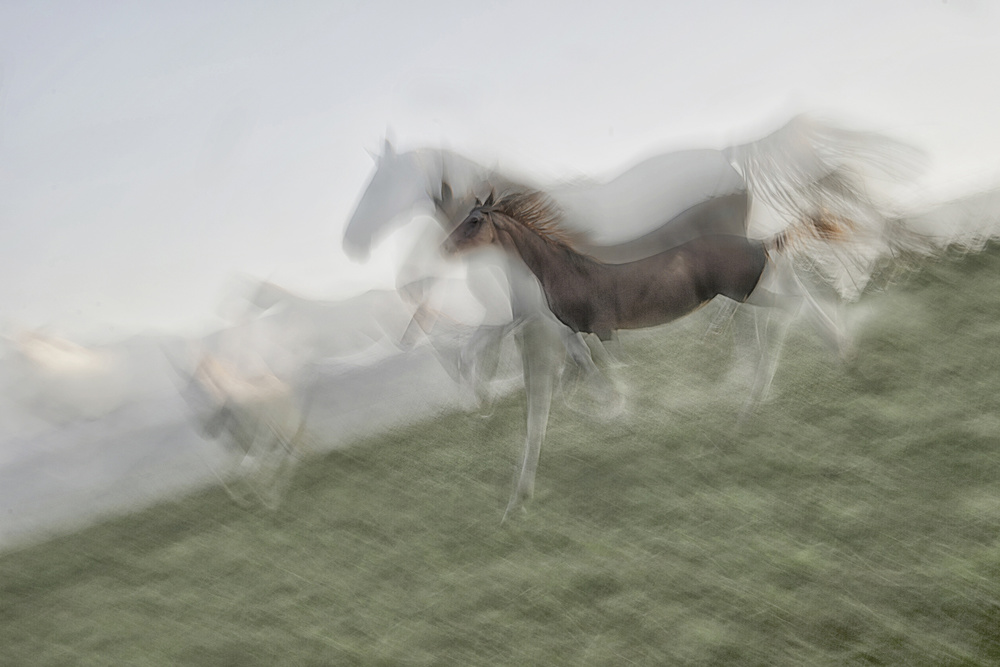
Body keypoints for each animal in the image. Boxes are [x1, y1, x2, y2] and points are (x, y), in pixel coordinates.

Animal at [444, 190, 860, 517]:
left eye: (475, 220)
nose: (446, 246)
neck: (564, 270)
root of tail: (759, 243)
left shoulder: (598, 330)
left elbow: (598, 381)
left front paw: (625, 413)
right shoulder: (578, 334)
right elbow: (573, 387)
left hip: (747, 291)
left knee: (790, 310)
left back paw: (759, 396)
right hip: (752, 290)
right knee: (786, 305)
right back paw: (826, 355)